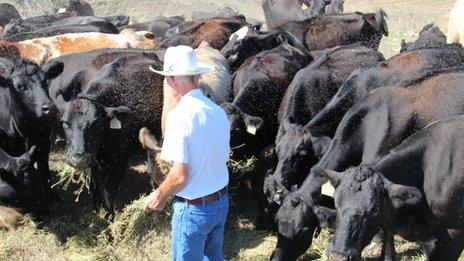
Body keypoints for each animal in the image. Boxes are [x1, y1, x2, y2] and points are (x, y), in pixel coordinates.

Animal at [0, 58, 64, 200]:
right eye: (19, 86)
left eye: (45, 81)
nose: (49, 107)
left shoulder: (44, 143)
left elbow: (44, 170)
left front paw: (51, 196)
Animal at [60, 55, 164, 215]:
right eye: (65, 123)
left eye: (97, 123)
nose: (78, 159)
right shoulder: (95, 161)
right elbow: (95, 184)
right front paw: (98, 210)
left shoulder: (120, 159)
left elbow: (110, 188)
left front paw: (109, 214)